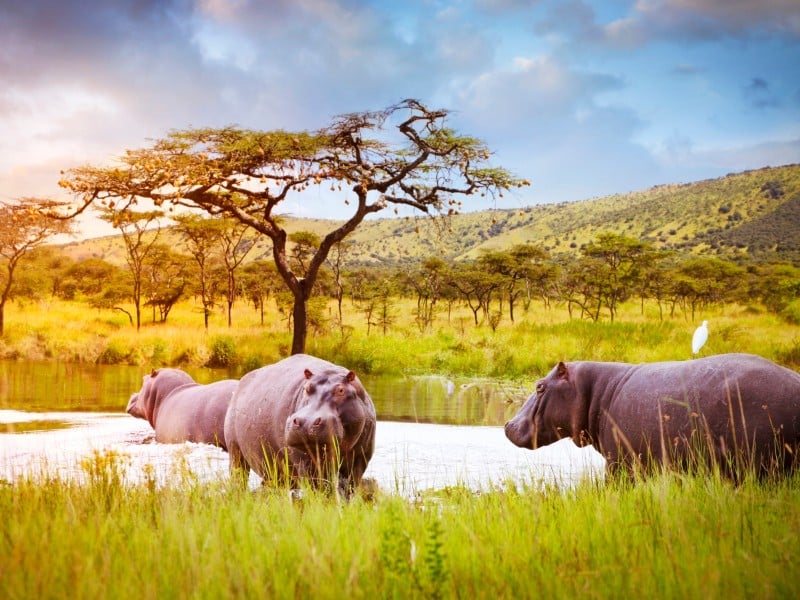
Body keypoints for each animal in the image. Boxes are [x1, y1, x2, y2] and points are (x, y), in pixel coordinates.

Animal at [223, 354, 376, 496]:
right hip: (235, 452)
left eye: (341, 390)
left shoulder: (359, 461)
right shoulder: (304, 461)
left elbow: (349, 489)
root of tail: (242, 381)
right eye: (306, 388)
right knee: (238, 476)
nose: (306, 422)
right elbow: (318, 489)